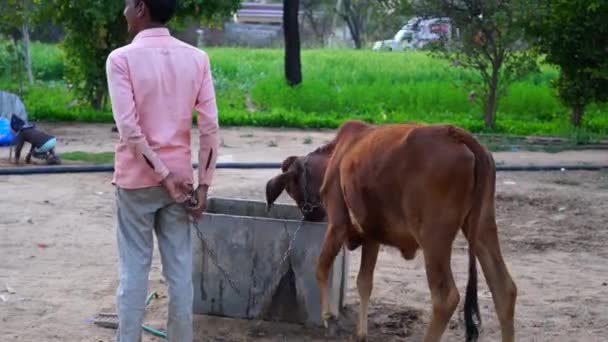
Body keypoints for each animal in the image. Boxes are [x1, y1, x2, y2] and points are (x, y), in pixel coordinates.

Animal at [264, 121, 516, 342]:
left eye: (291, 189)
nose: (310, 216)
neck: (337, 154)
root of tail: (456, 133)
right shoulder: (371, 236)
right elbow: (364, 282)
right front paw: (361, 333)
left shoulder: (337, 224)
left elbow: (321, 267)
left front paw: (329, 318)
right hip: (482, 228)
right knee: (504, 290)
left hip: (434, 237)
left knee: (446, 297)